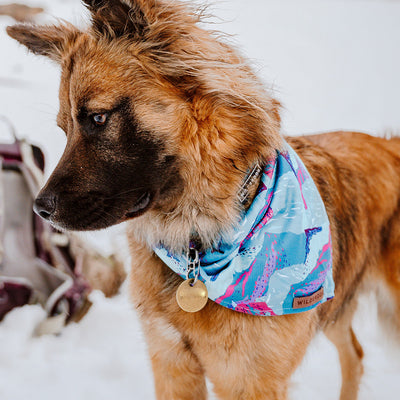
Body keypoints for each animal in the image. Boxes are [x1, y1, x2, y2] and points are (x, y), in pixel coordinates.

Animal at [6, 1, 400, 398]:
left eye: (98, 118)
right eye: (64, 129)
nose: (41, 209)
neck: (199, 238)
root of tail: (389, 145)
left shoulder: (250, 379)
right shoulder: (171, 361)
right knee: (355, 353)